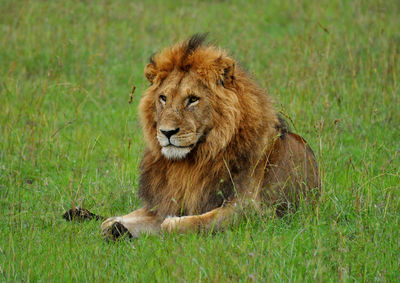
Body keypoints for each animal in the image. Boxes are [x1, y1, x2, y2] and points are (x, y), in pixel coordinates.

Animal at [101, 34, 320, 241]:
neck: (190, 163)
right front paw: (117, 227)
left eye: (192, 99)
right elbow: (107, 222)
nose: (167, 132)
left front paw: (168, 224)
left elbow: (181, 224)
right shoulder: (165, 202)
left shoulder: (250, 208)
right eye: (163, 98)